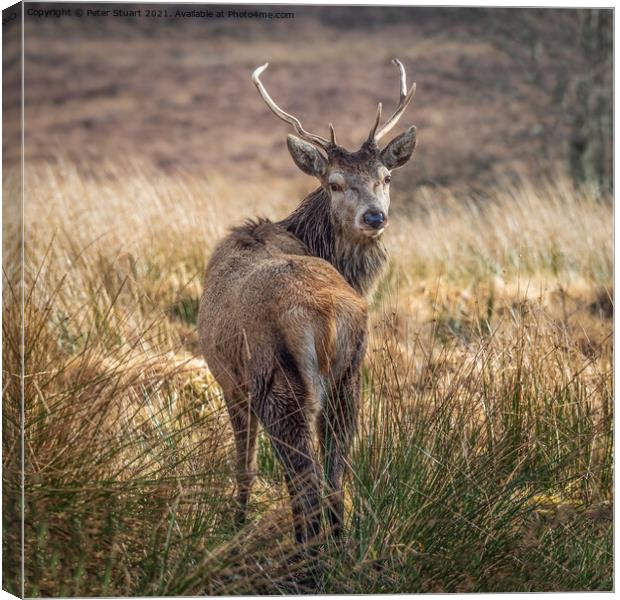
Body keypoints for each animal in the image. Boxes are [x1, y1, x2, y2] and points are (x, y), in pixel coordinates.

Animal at [200, 59, 416, 544]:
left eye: (386, 177)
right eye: (334, 183)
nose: (375, 216)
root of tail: (329, 317)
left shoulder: (230, 381)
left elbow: (244, 465)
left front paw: (236, 523)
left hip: (279, 386)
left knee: (307, 483)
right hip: (349, 378)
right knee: (335, 478)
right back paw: (336, 545)